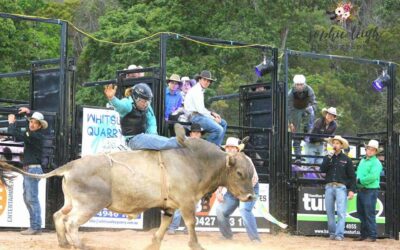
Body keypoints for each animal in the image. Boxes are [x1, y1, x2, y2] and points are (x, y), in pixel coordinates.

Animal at [0, 125, 255, 250]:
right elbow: (191, 223)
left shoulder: (170, 205)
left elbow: (164, 224)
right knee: (71, 222)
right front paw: (196, 244)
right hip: (90, 204)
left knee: (57, 215)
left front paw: (153, 244)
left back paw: (64, 243)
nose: (251, 196)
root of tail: (72, 164)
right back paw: (80, 245)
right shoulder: (186, 201)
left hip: (72, 201)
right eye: (240, 173)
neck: (195, 160)